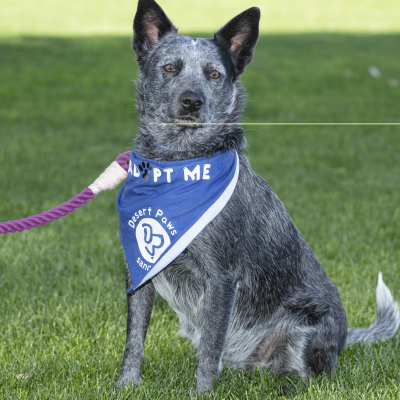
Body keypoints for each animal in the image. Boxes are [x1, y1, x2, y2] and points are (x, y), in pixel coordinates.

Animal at [114, 0, 398, 394]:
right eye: (170, 67)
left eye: (214, 74)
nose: (192, 101)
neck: (180, 164)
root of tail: (343, 341)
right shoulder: (139, 270)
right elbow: (134, 340)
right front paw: (126, 385)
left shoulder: (221, 278)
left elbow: (209, 351)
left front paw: (202, 395)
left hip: (307, 325)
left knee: (310, 377)